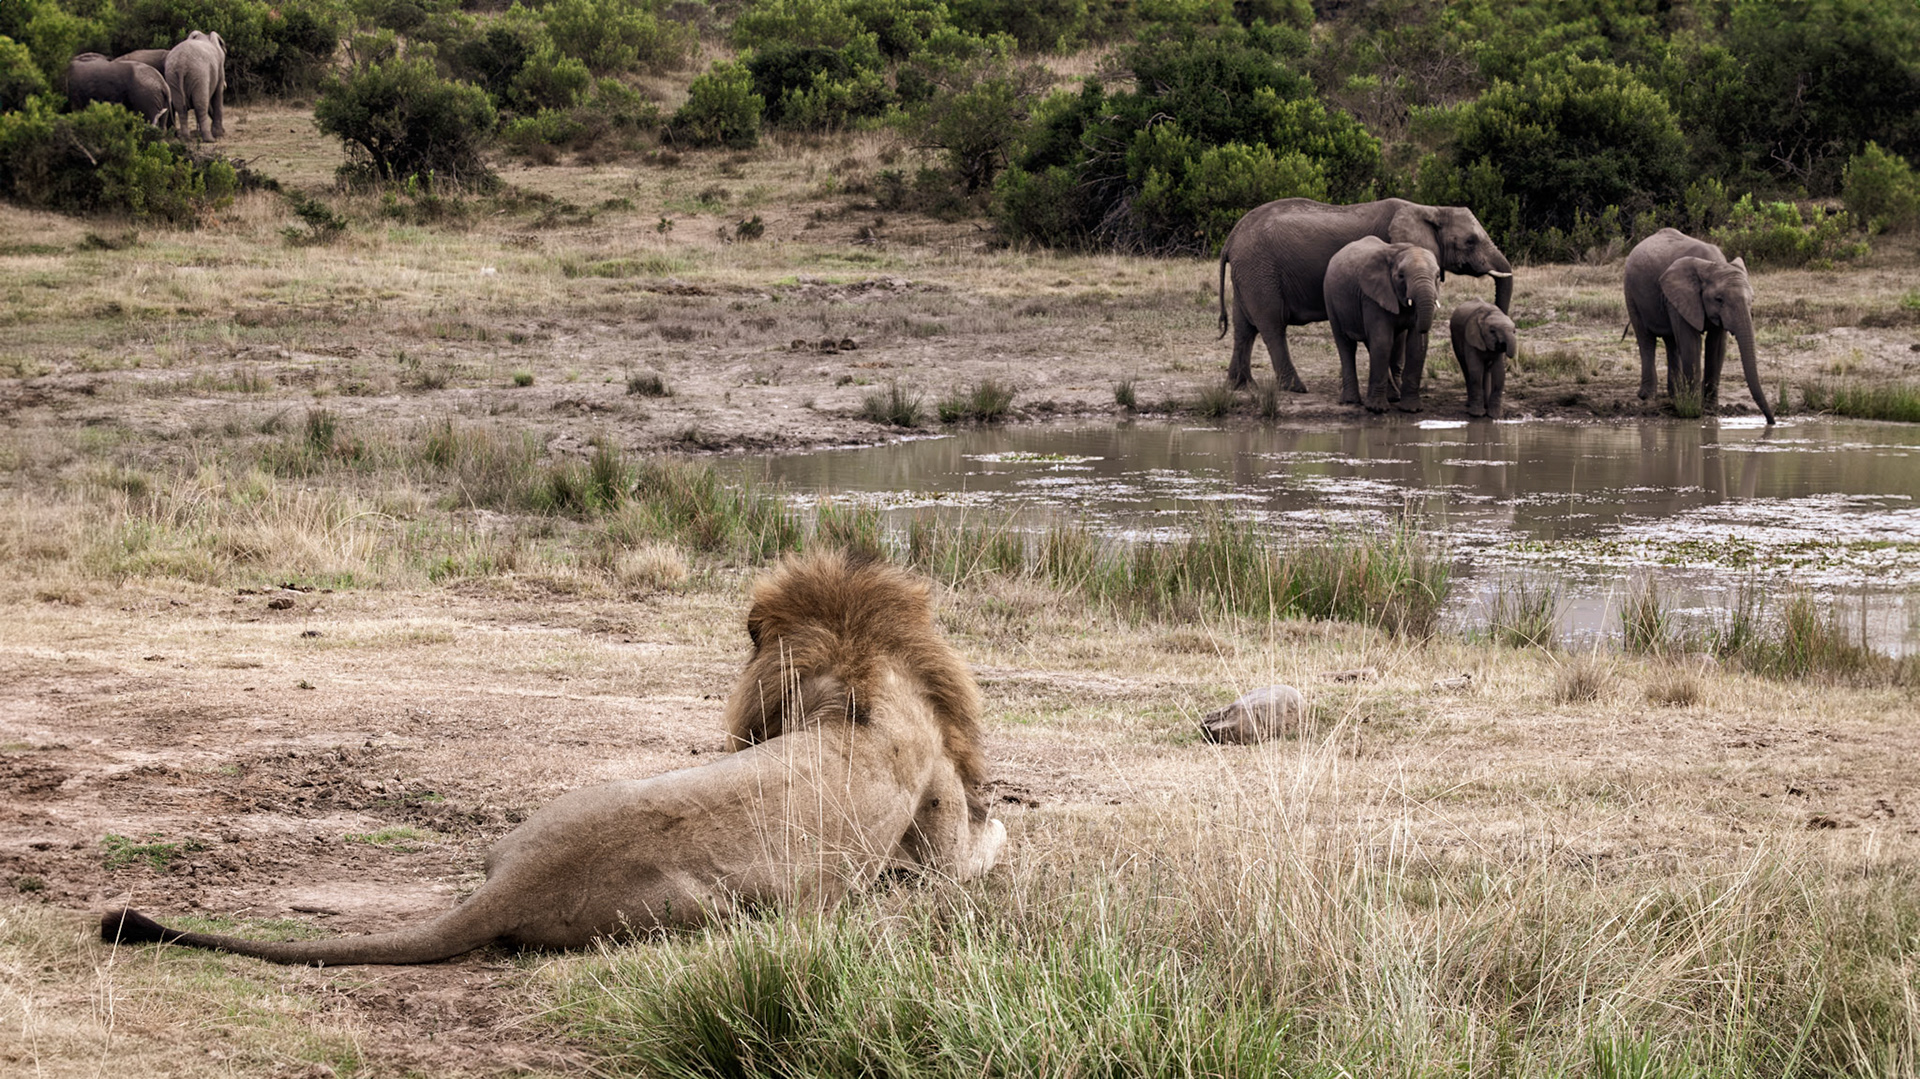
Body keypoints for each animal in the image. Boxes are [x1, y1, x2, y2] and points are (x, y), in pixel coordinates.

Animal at [1216, 198, 1514, 393]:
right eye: (1470, 241)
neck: (1430, 209)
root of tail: (1231, 238)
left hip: (1249, 272)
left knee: (1244, 328)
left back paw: (1241, 386)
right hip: (1260, 270)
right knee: (1272, 326)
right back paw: (1296, 388)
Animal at [1324, 237, 1441, 413]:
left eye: (1438, 276)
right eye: (1401, 276)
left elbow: (1414, 346)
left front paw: (1411, 409)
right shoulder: (1371, 297)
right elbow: (1382, 341)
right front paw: (1377, 409)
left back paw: (1393, 397)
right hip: (1331, 301)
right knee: (1346, 344)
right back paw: (1351, 401)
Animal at [1623, 228, 1774, 425]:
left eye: (1752, 300)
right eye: (1719, 299)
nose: (1771, 421)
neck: (1714, 265)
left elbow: (1716, 346)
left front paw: (1709, 409)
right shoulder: (1683, 295)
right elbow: (1691, 343)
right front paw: (1693, 410)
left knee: (1672, 342)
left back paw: (1676, 395)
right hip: (1631, 292)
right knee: (1646, 339)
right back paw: (1647, 397)